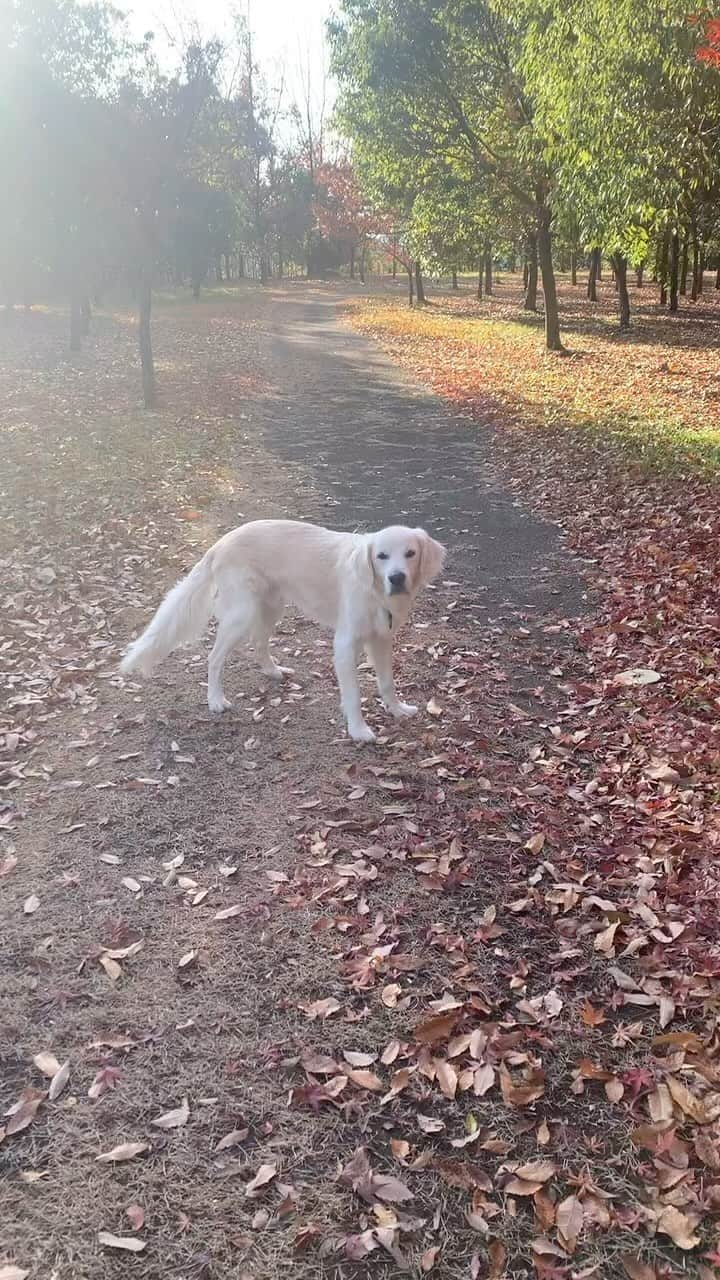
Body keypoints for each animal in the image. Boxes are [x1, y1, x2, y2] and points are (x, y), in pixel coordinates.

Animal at [119, 517, 443, 742]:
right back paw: (215, 700)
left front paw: (397, 710)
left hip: (271, 607)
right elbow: (353, 694)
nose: (397, 578)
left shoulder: (381, 639)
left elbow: (387, 682)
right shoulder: (345, 645)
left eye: (410, 553)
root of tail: (220, 543)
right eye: (381, 556)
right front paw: (358, 730)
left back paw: (273, 671)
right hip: (241, 614)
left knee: (259, 643)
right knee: (214, 658)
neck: (374, 591)